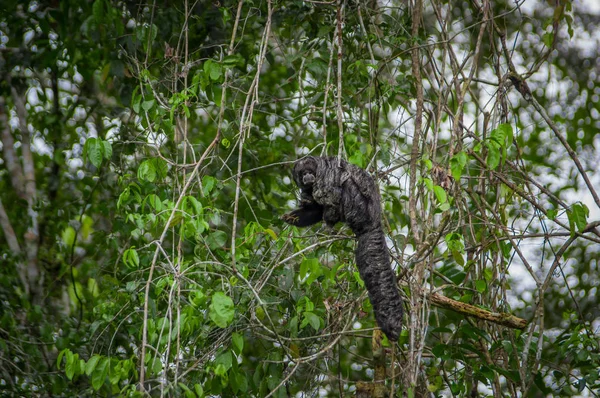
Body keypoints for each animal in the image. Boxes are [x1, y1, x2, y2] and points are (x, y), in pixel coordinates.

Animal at [282, 157, 404, 340]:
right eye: (302, 173)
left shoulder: (326, 174)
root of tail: (374, 220)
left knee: (345, 187)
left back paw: (331, 216)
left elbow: (329, 192)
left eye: (310, 171)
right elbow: (313, 208)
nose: (307, 176)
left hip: (359, 206)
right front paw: (292, 215)